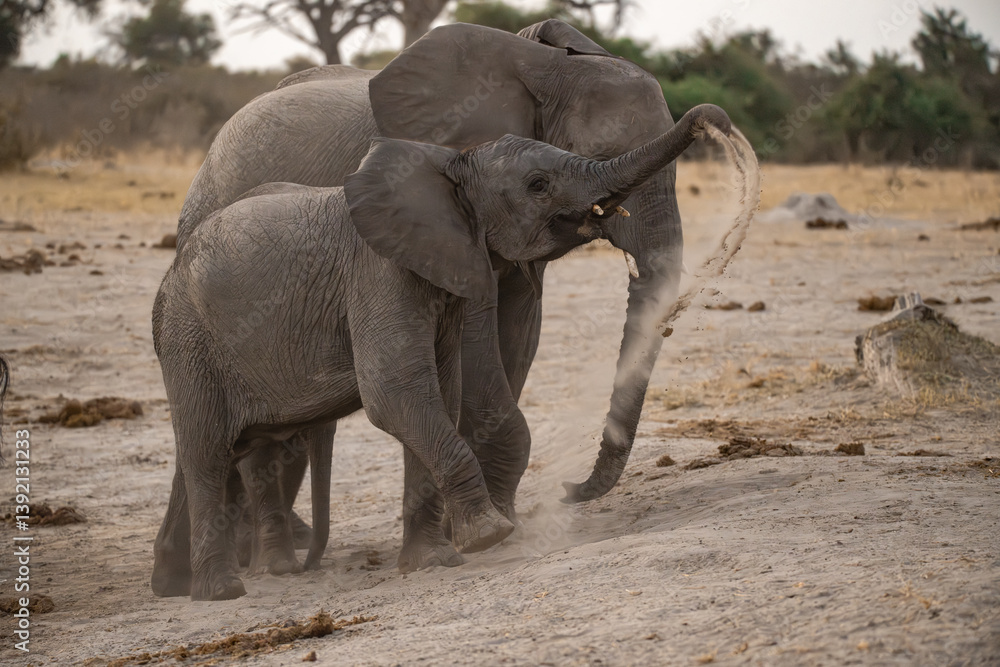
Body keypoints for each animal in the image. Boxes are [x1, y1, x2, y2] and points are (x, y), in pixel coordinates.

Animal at [175, 20, 712, 567]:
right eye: (595, 160)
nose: (569, 490)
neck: (538, 66)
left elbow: (518, 335)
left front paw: (494, 522)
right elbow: (477, 342)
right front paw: (486, 531)